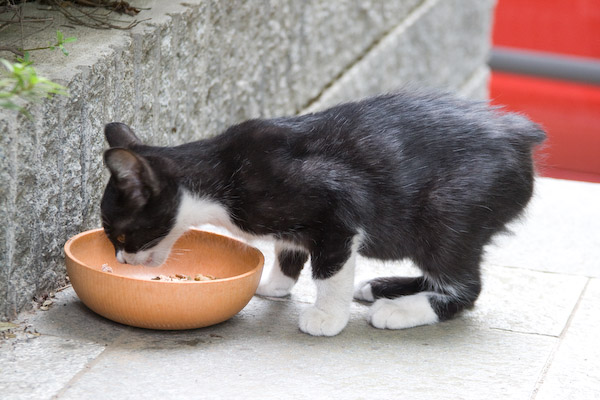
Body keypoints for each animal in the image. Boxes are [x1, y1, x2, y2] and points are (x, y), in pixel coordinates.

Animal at [101, 90, 548, 334]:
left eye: (121, 235)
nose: (121, 260)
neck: (221, 174)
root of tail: (519, 133)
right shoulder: (294, 225)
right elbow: (288, 248)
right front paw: (275, 284)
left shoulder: (337, 210)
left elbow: (330, 270)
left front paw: (327, 318)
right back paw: (382, 287)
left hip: (447, 213)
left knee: (465, 285)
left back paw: (400, 309)